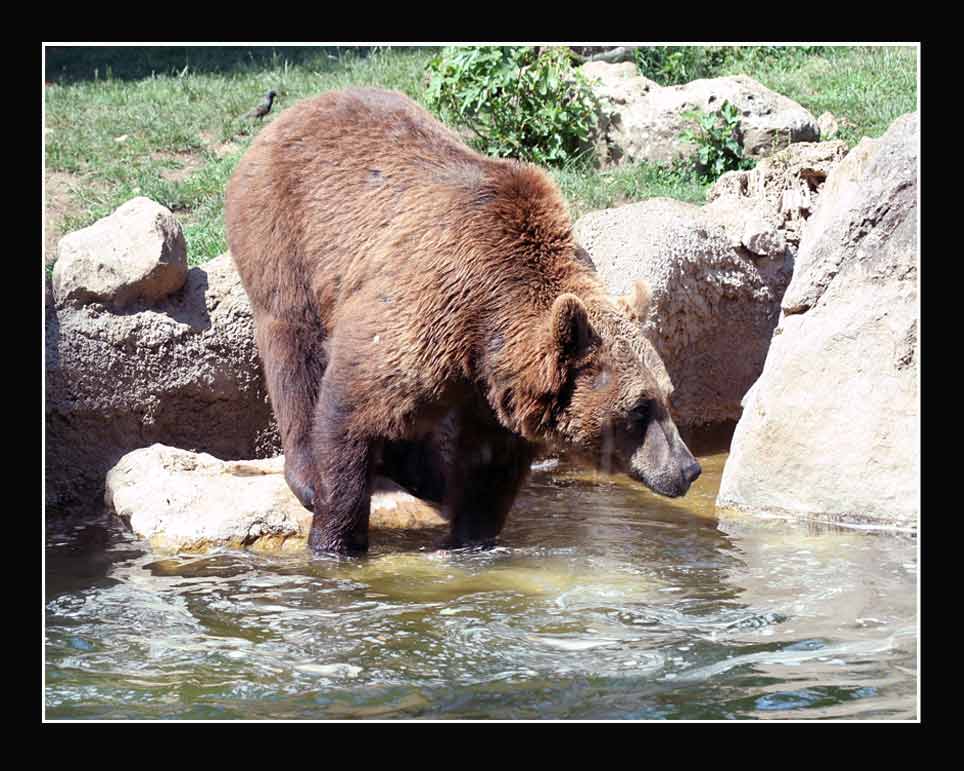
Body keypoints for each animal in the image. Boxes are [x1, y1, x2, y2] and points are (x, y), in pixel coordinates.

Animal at [224, 87, 701, 555]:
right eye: (639, 407)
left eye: (668, 394)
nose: (688, 468)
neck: (486, 324)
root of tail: (298, 110)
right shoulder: (421, 307)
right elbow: (351, 410)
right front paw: (335, 540)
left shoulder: (490, 386)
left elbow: (489, 466)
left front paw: (471, 537)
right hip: (285, 235)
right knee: (294, 345)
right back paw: (308, 474)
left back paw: (426, 475)